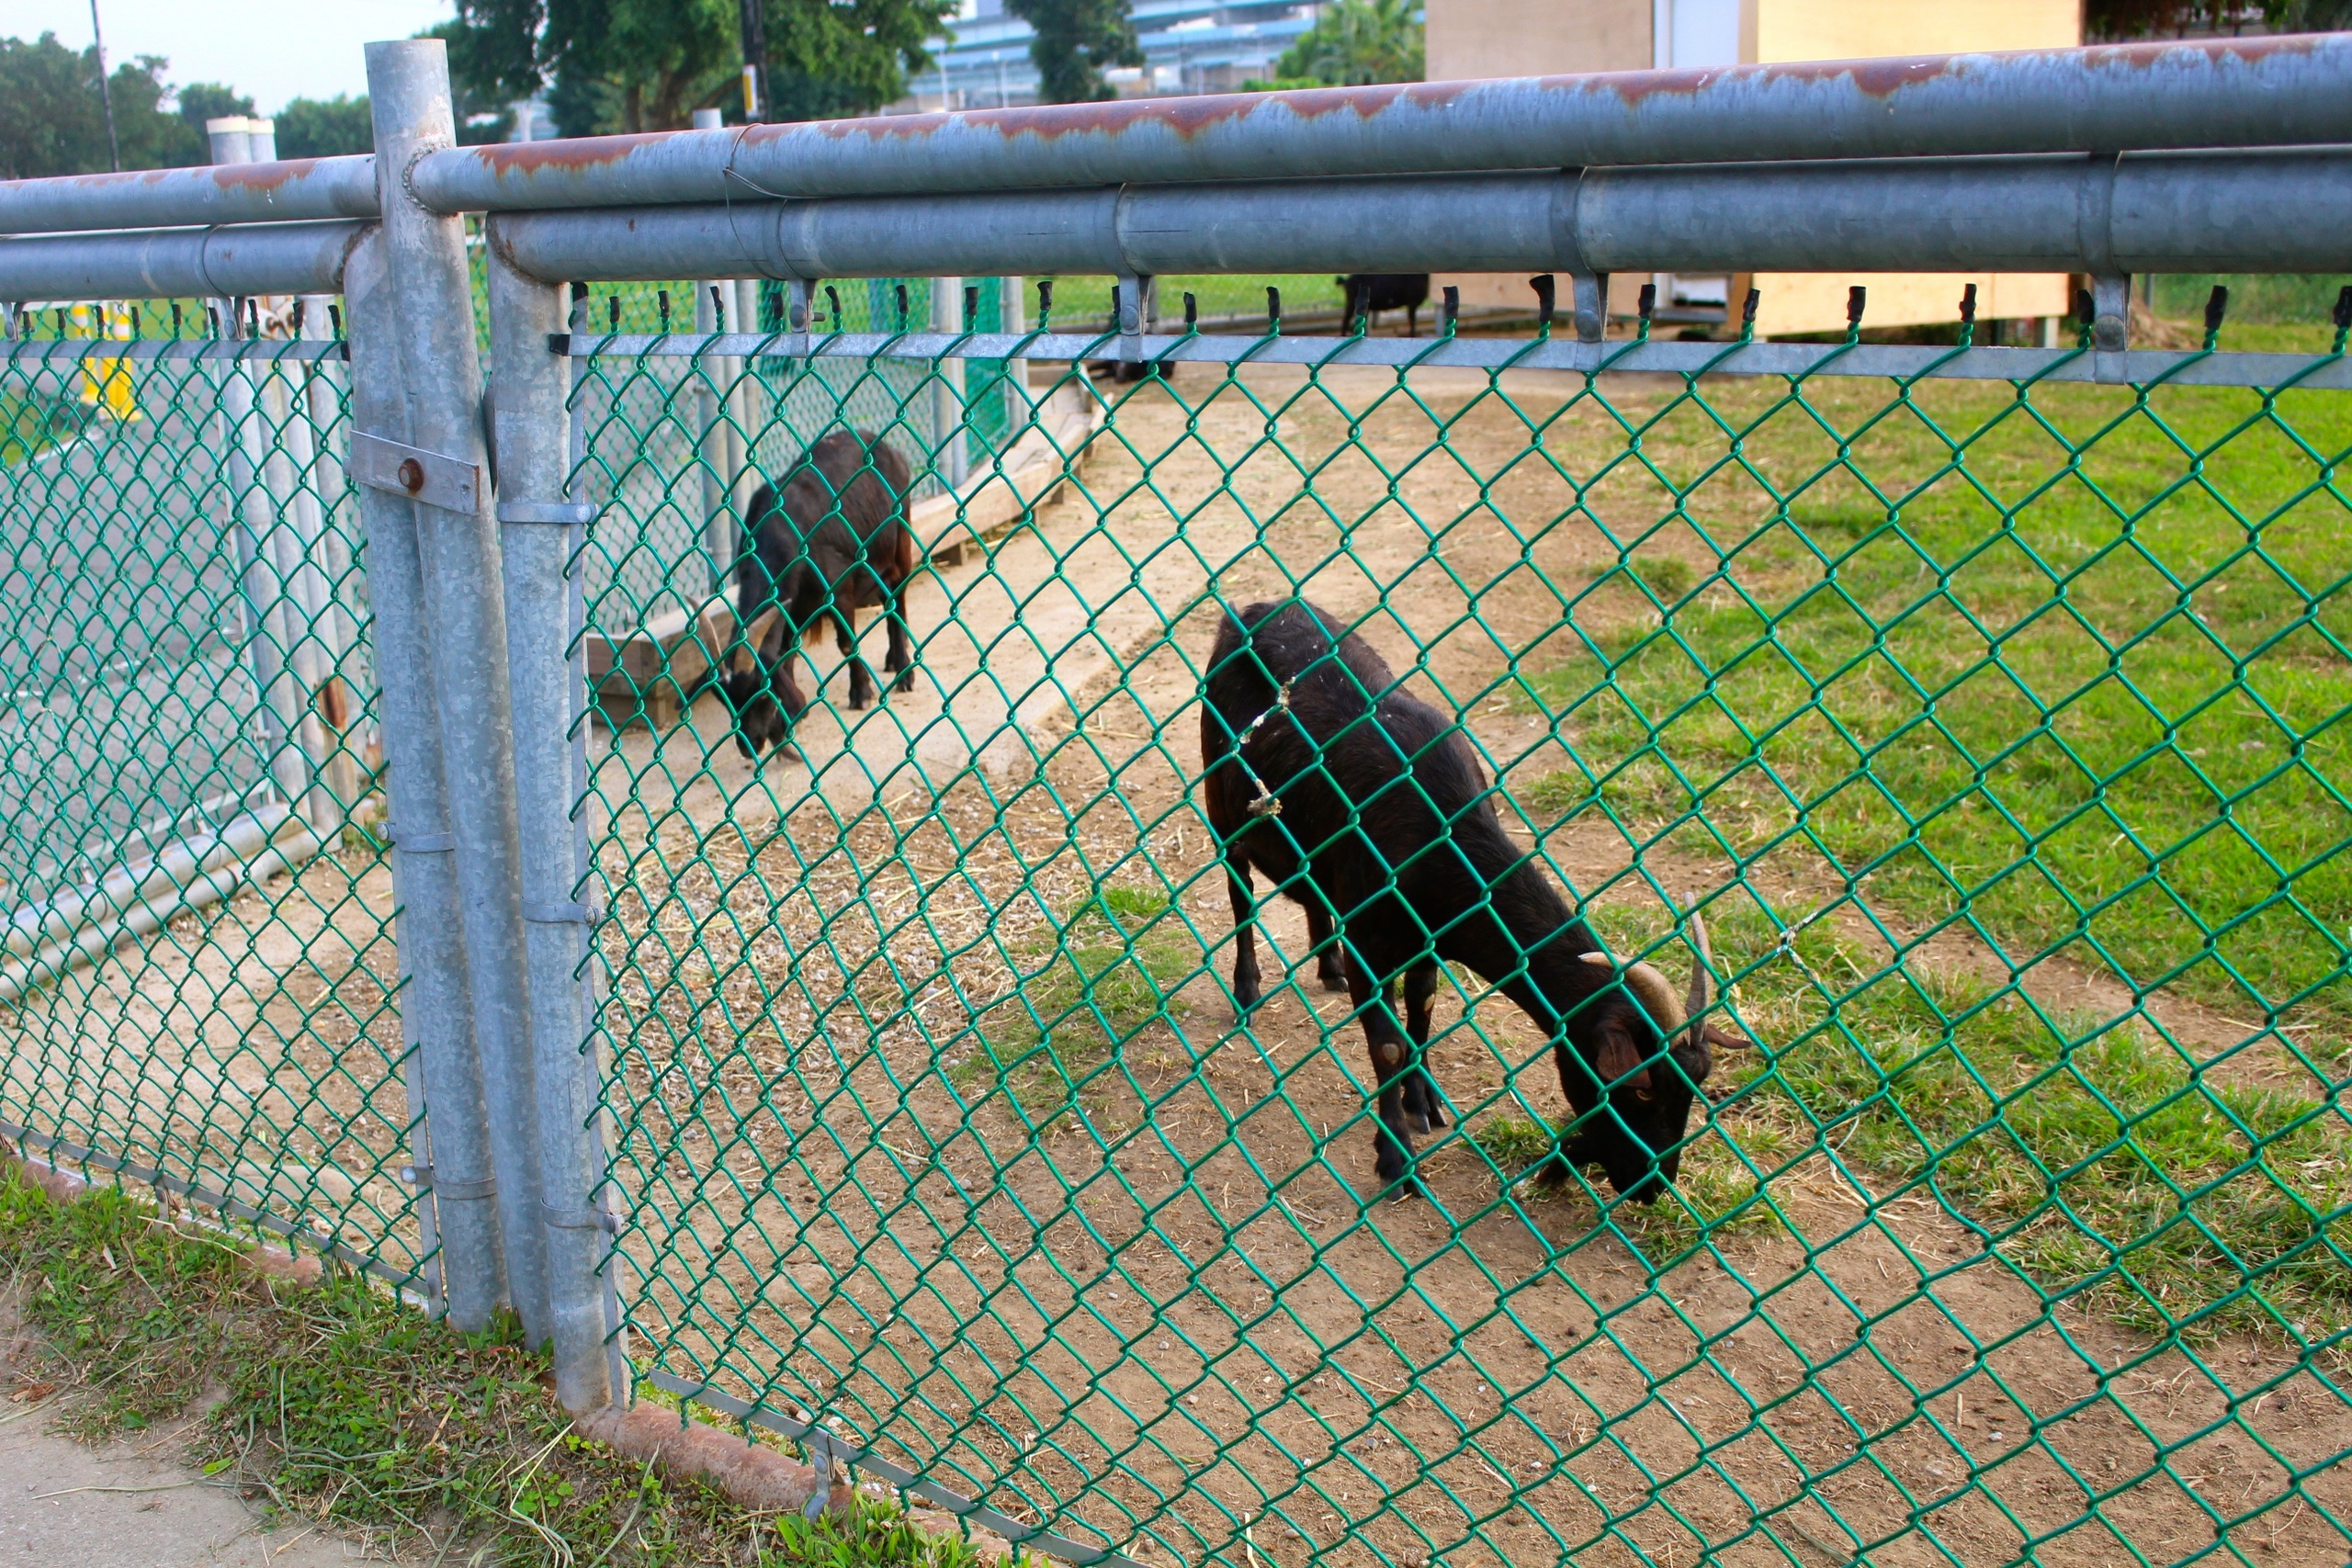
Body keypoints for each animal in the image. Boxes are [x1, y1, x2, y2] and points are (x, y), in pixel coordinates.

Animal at [724, 430, 917, 761]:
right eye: (728, 701)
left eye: (760, 696)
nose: (749, 746)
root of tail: (890, 450)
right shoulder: (794, 605)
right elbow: (785, 652)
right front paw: (790, 718)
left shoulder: (838, 591)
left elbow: (847, 643)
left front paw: (861, 694)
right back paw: (892, 659)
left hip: (899, 543)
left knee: (897, 600)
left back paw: (904, 672)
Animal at [1204, 602, 1740, 1203]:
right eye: (1642, 1089)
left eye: (1696, 1085)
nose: (1651, 1186)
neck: (1441, 832)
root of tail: (1251, 608)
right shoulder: (1373, 939)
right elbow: (1388, 1046)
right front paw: (1396, 1160)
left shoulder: (1428, 940)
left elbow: (1423, 1009)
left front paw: (1424, 1103)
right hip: (1221, 805)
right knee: (1240, 892)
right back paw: (1247, 991)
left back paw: (1328, 963)